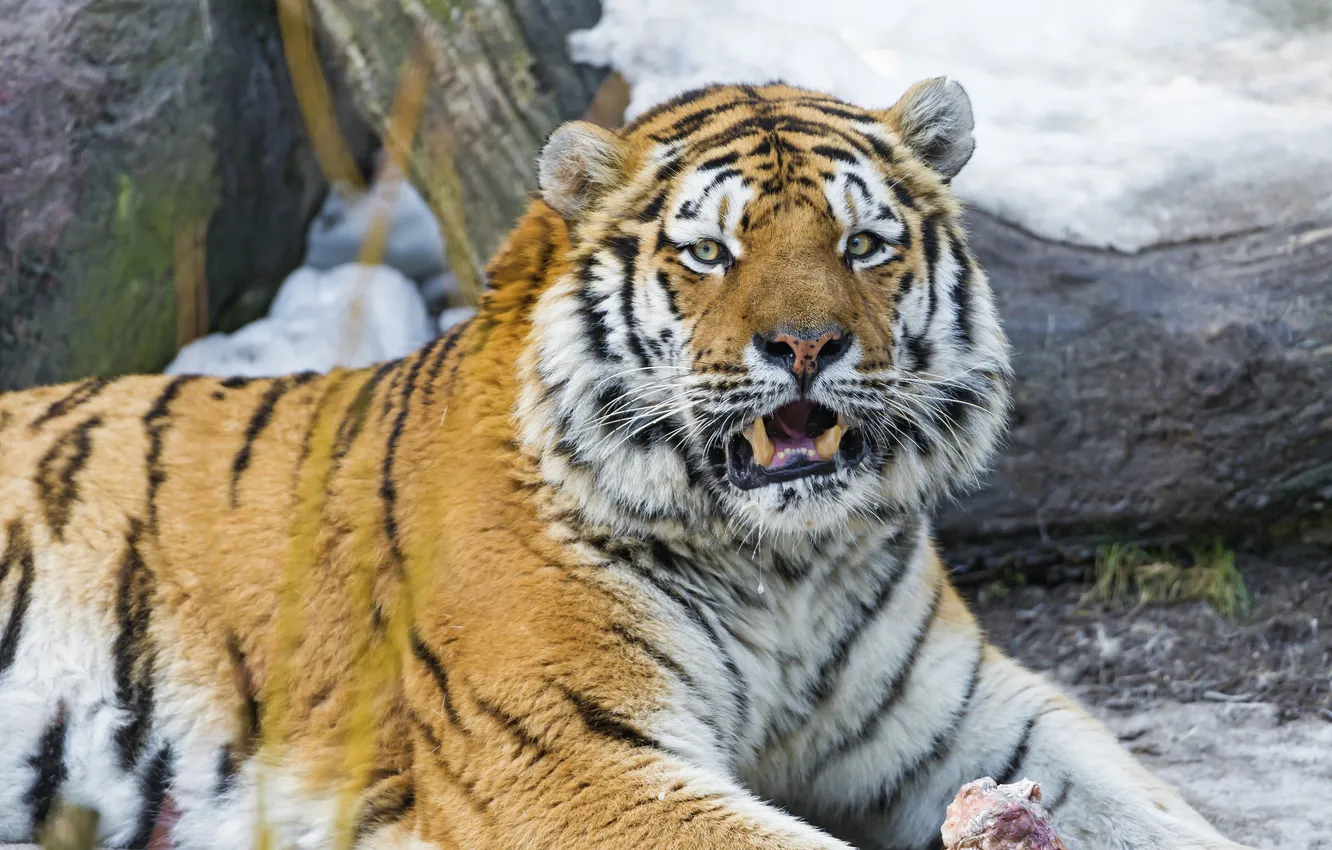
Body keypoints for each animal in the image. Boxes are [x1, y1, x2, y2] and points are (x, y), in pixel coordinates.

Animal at [0, 79, 1252, 850]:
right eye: (710, 252)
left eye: (863, 244)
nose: (807, 344)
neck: (785, 566)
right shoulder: (569, 758)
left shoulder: (971, 716)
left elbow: (1156, 810)